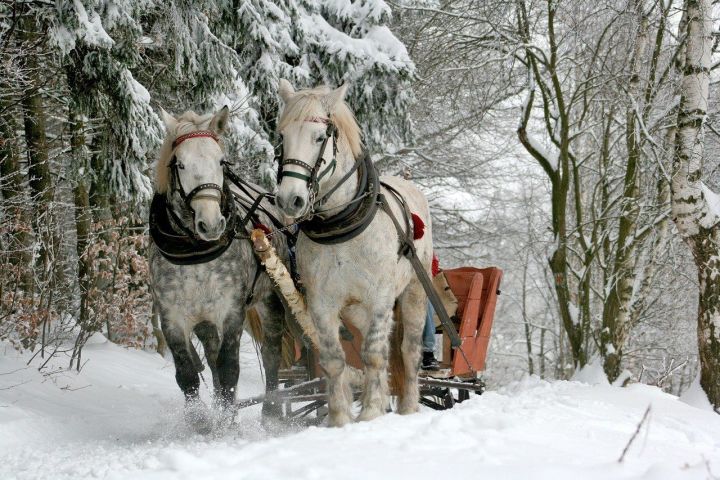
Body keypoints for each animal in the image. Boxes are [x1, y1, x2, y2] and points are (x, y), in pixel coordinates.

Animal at [274, 80, 434, 426]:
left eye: (319, 137)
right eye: (282, 137)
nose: (290, 200)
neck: (341, 224)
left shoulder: (380, 298)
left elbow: (373, 355)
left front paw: (371, 411)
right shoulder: (322, 303)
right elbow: (335, 359)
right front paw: (339, 418)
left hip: (414, 291)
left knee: (408, 349)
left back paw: (408, 406)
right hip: (356, 310)